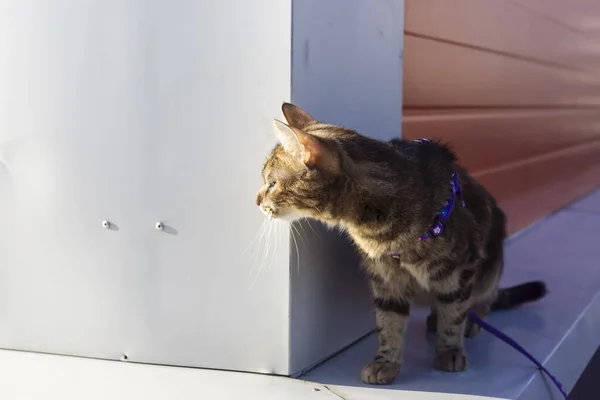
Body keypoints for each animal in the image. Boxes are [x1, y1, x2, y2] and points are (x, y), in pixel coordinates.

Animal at [255, 103, 548, 384]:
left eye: (272, 184)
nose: (256, 200)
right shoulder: (385, 279)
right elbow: (389, 323)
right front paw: (386, 362)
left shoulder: (459, 270)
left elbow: (453, 315)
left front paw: (450, 351)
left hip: (489, 271)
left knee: (482, 301)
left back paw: (471, 320)